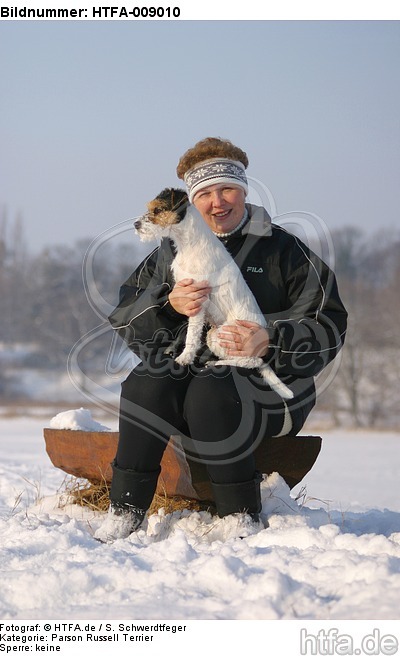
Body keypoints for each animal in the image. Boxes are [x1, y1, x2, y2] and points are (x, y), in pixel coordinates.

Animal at [134, 186, 294, 400]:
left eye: (158, 210)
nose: (136, 225)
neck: (189, 243)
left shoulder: (199, 297)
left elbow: (192, 335)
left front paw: (185, 357)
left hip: (227, 336)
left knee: (251, 362)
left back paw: (217, 363)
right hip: (213, 335)